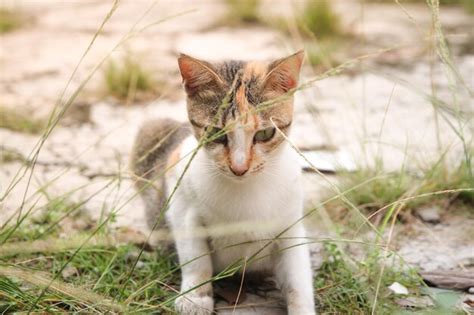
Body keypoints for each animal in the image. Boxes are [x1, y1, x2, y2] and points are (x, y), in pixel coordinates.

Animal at [130, 50, 316, 314]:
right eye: (215, 133)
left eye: (265, 133)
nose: (239, 167)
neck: (244, 189)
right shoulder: (181, 200)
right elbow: (195, 257)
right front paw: (195, 297)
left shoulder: (290, 225)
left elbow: (297, 278)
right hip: (151, 131)